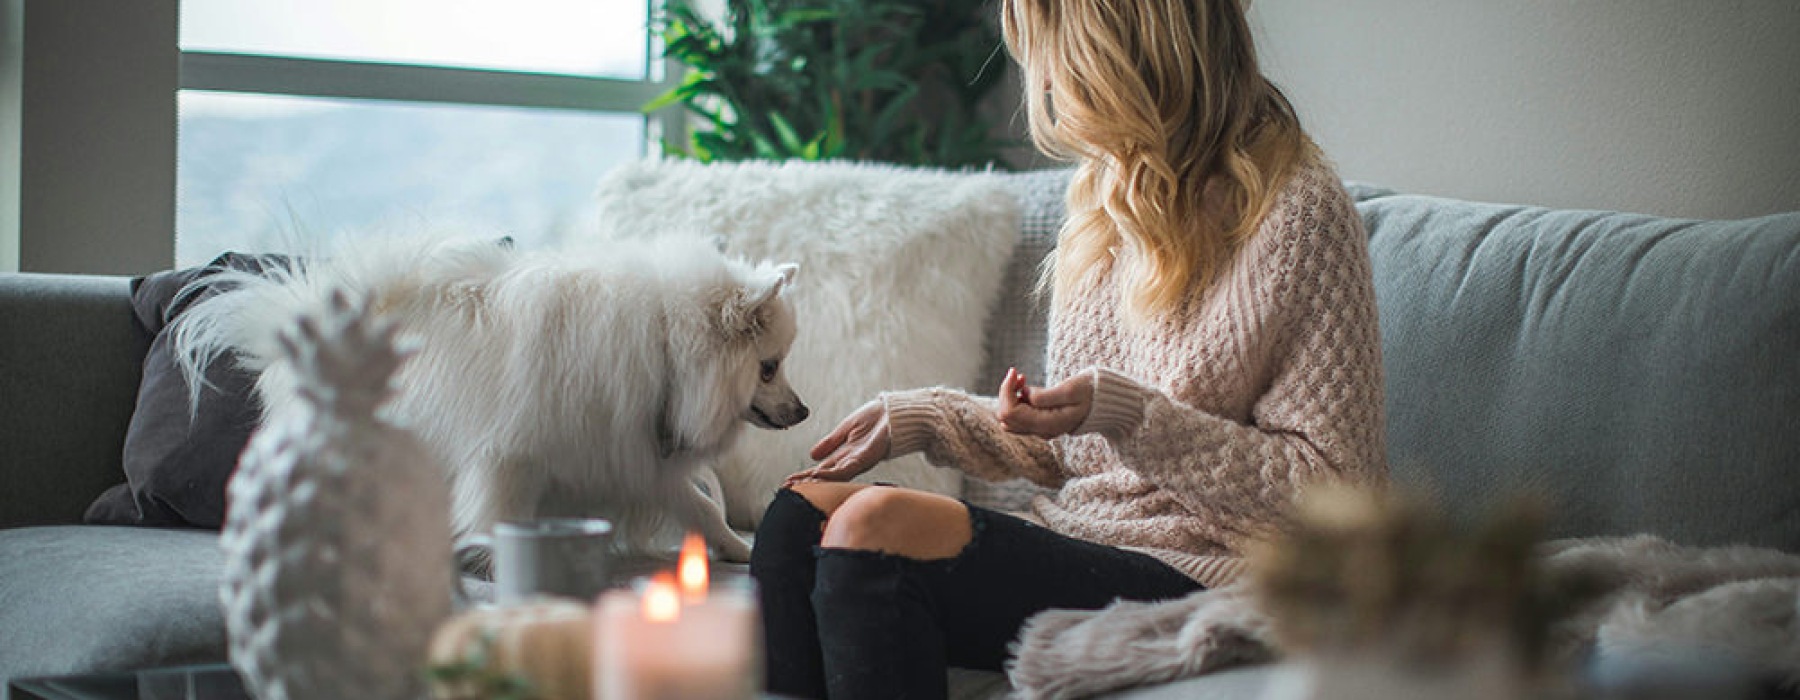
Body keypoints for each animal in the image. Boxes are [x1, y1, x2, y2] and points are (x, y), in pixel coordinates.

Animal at [175, 233, 810, 561]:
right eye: (769, 368)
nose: (804, 410)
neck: (662, 346)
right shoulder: (512, 457)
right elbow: (500, 513)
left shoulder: (628, 452)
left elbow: (701, 506)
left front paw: (738, 549)